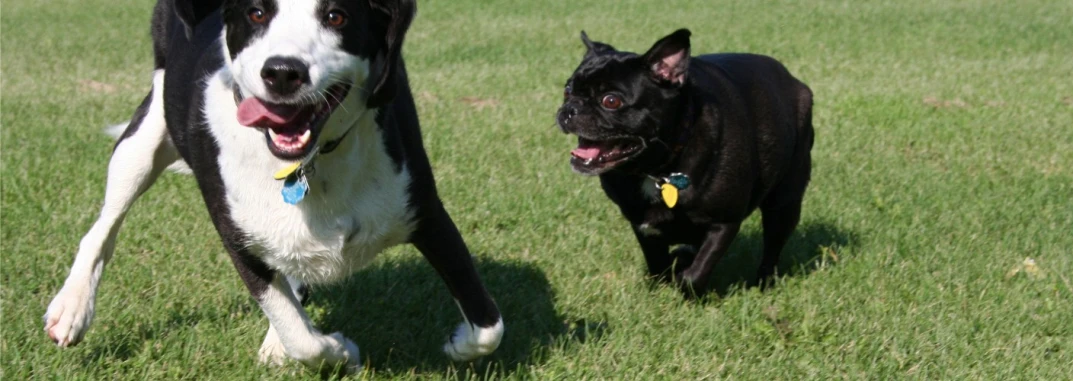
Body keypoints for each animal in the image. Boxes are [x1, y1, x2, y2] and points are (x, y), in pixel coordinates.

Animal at [45, 0, 502, 373]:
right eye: (257, 13)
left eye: (336, 16)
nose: (283, 72)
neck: (307, 162)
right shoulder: (238, 235)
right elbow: (300, 336)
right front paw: (340, 350)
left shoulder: (424, 211)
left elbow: (488, 326)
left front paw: (459, 343)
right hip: (144, 137)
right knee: (104, 226)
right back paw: (72, 307)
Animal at [562, 29, 811, 294]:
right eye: (567, 91)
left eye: (611, 101)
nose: (569, 109)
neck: (658, 170)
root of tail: (793, 80)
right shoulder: (644, 227)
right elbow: (657, 264)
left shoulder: (724, 223)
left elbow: (696, 273)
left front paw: (685, 284)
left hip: (784, 203)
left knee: (772, 247)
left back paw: (764, 283)